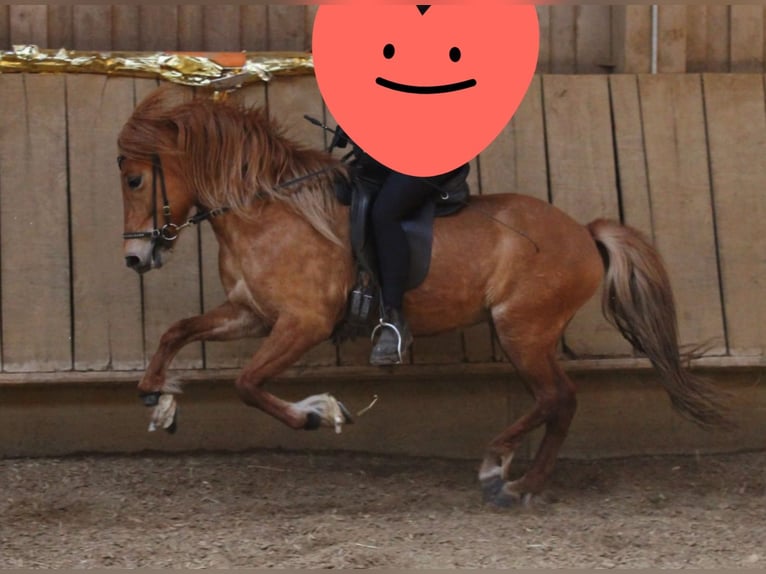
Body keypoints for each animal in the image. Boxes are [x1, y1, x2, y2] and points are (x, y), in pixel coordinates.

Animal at [117, 85, 731, 506]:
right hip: (530, 332)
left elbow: (247, 384)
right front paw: (158, 398)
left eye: (134, 180)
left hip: (523, 328)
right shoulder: (251, 313)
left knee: (556, 397)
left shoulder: (303, 322)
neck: (270, 211)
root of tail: (583, 232)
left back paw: (502, 472)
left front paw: (319, 413)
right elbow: (177, 332)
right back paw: (519, 478)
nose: (135, 259)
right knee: (560, 400)